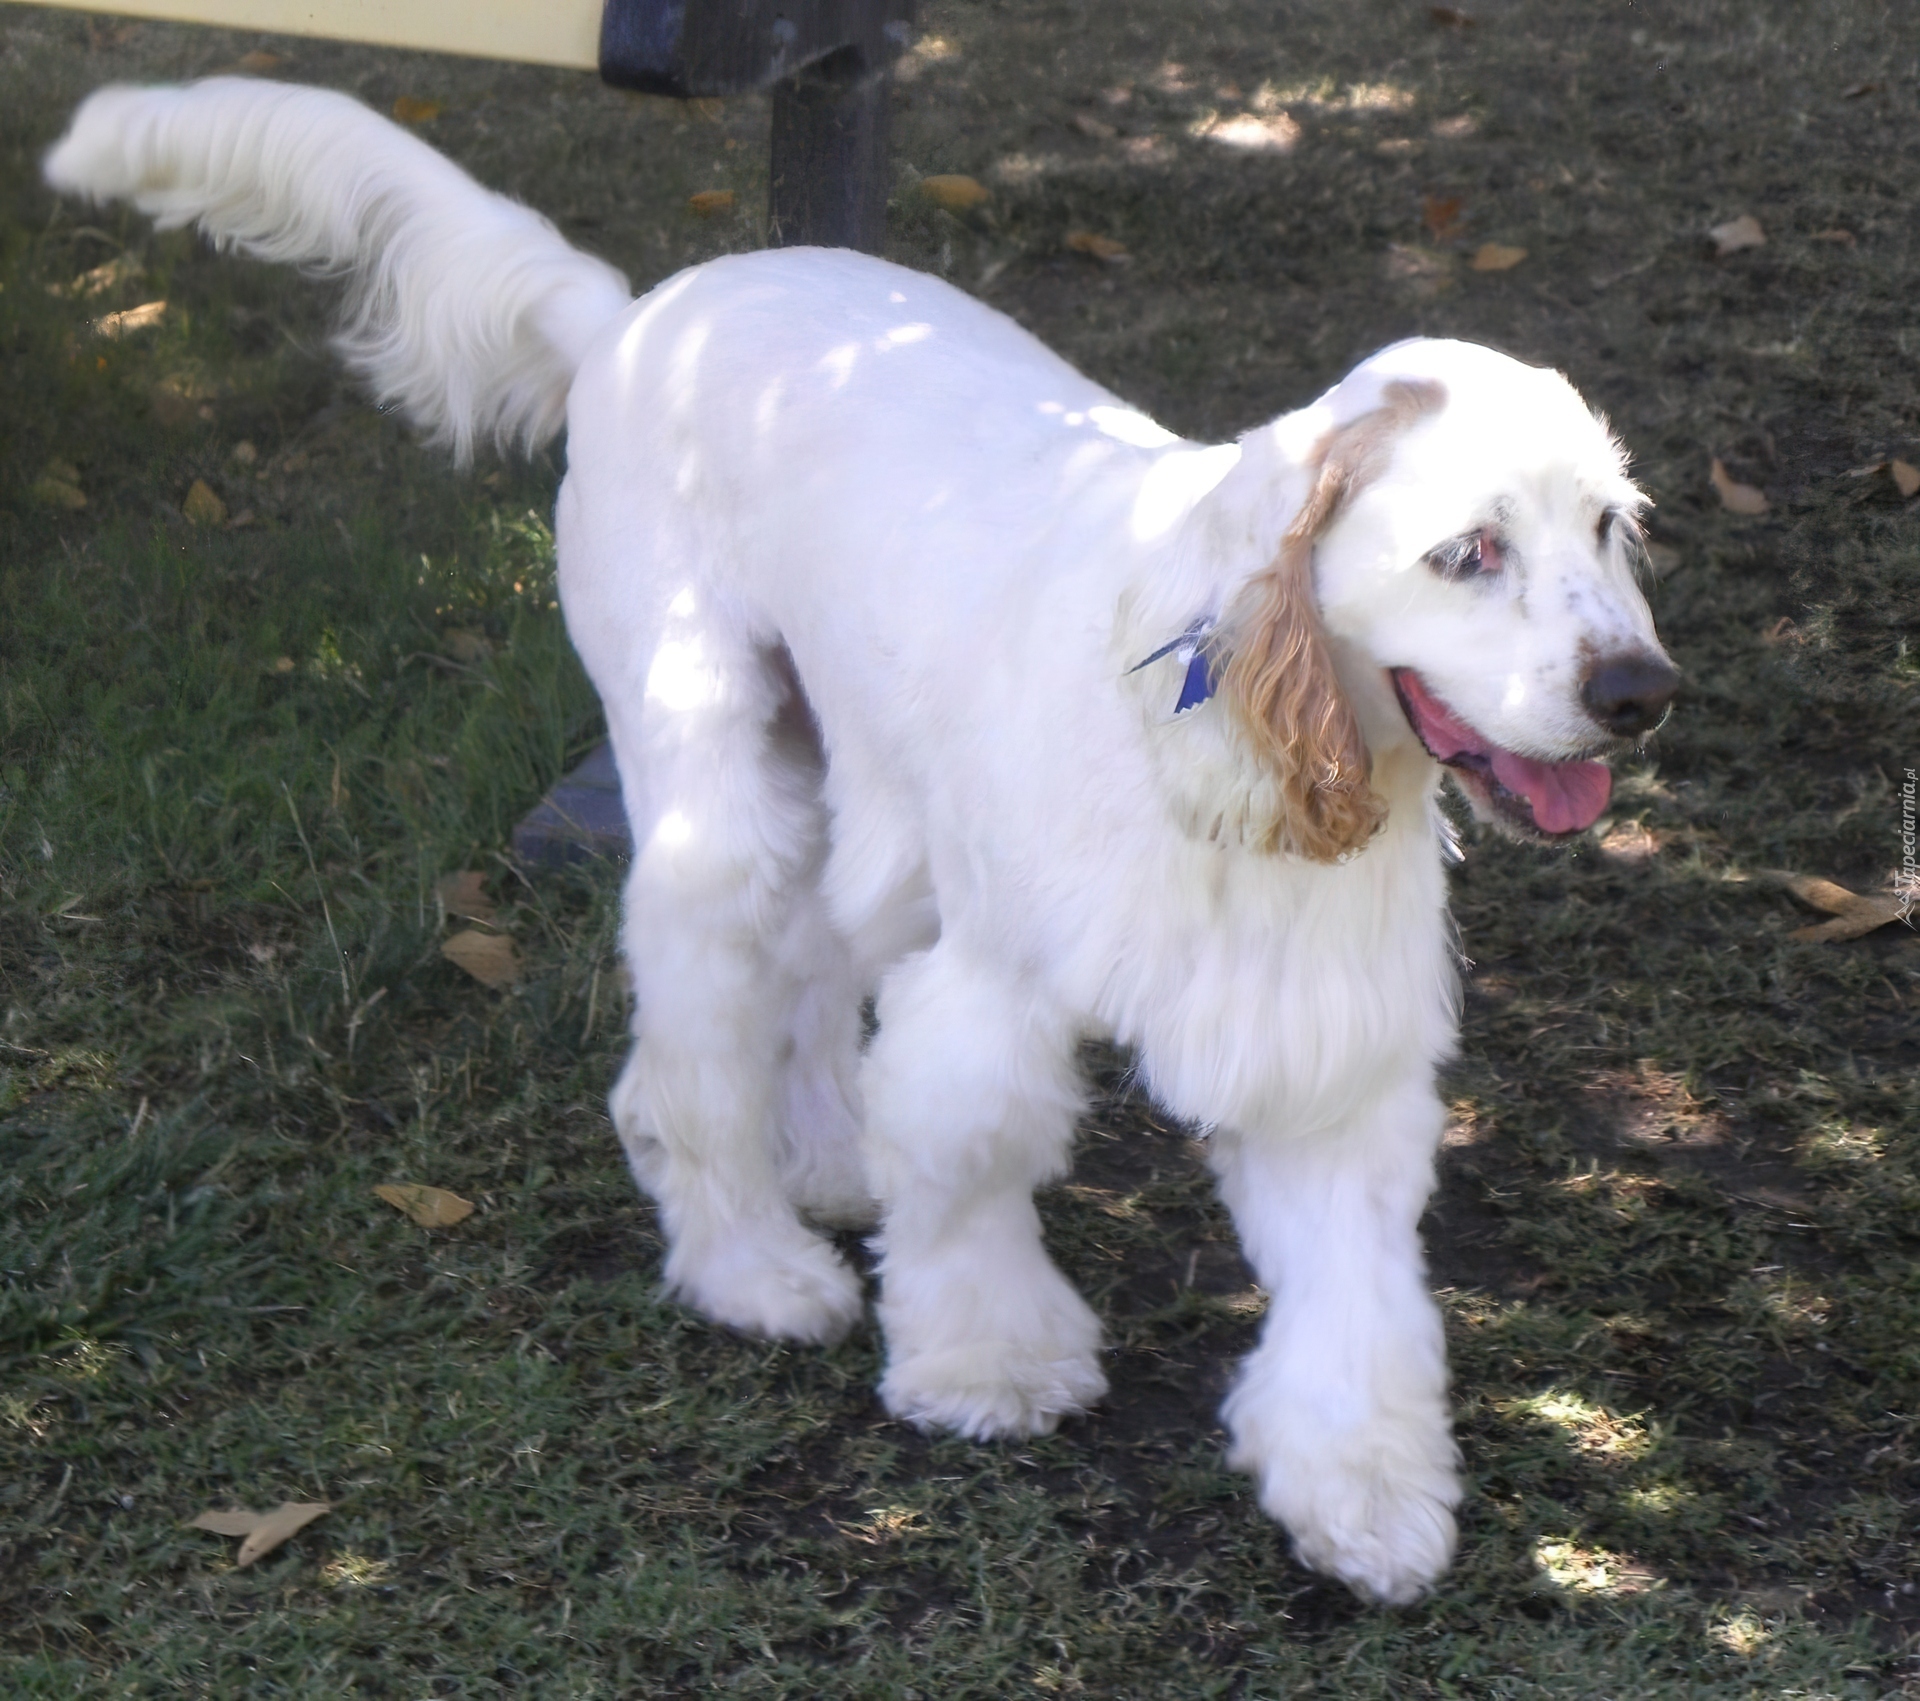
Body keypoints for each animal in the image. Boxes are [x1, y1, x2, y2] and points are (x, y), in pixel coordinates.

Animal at [41, 76, 1666, 1597]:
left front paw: (1365, 1492)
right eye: (1468, 552)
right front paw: (988, 1365)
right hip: (719, 794)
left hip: (842, 779)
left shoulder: (1318, 1039)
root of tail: (633, 319)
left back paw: (825, 1159)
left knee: (815, 987)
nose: (1641, 693)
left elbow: (1356, 1290)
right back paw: (754, 1266)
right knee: (680, 1069)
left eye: (1605, 527)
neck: (1217, 724)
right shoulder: (996, 986)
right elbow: (971, 1157)